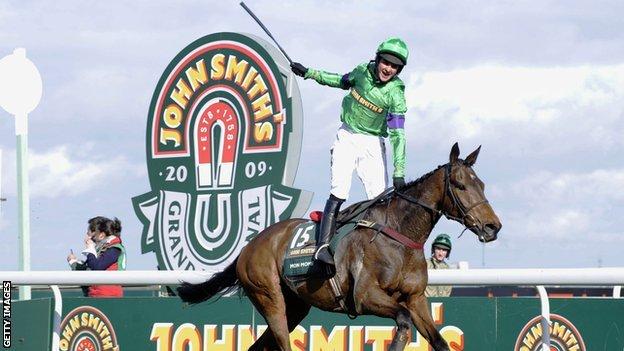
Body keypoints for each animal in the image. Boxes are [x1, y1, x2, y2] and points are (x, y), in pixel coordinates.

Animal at [177, 144, 502, 351]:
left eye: (482, 184)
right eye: (460, 185)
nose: (492, 227)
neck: (398, 235)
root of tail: (248, 247)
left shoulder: (416, 299)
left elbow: (438, 341)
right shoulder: (366, 296)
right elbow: (402, 322)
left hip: (296, 306)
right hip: (269, 297)